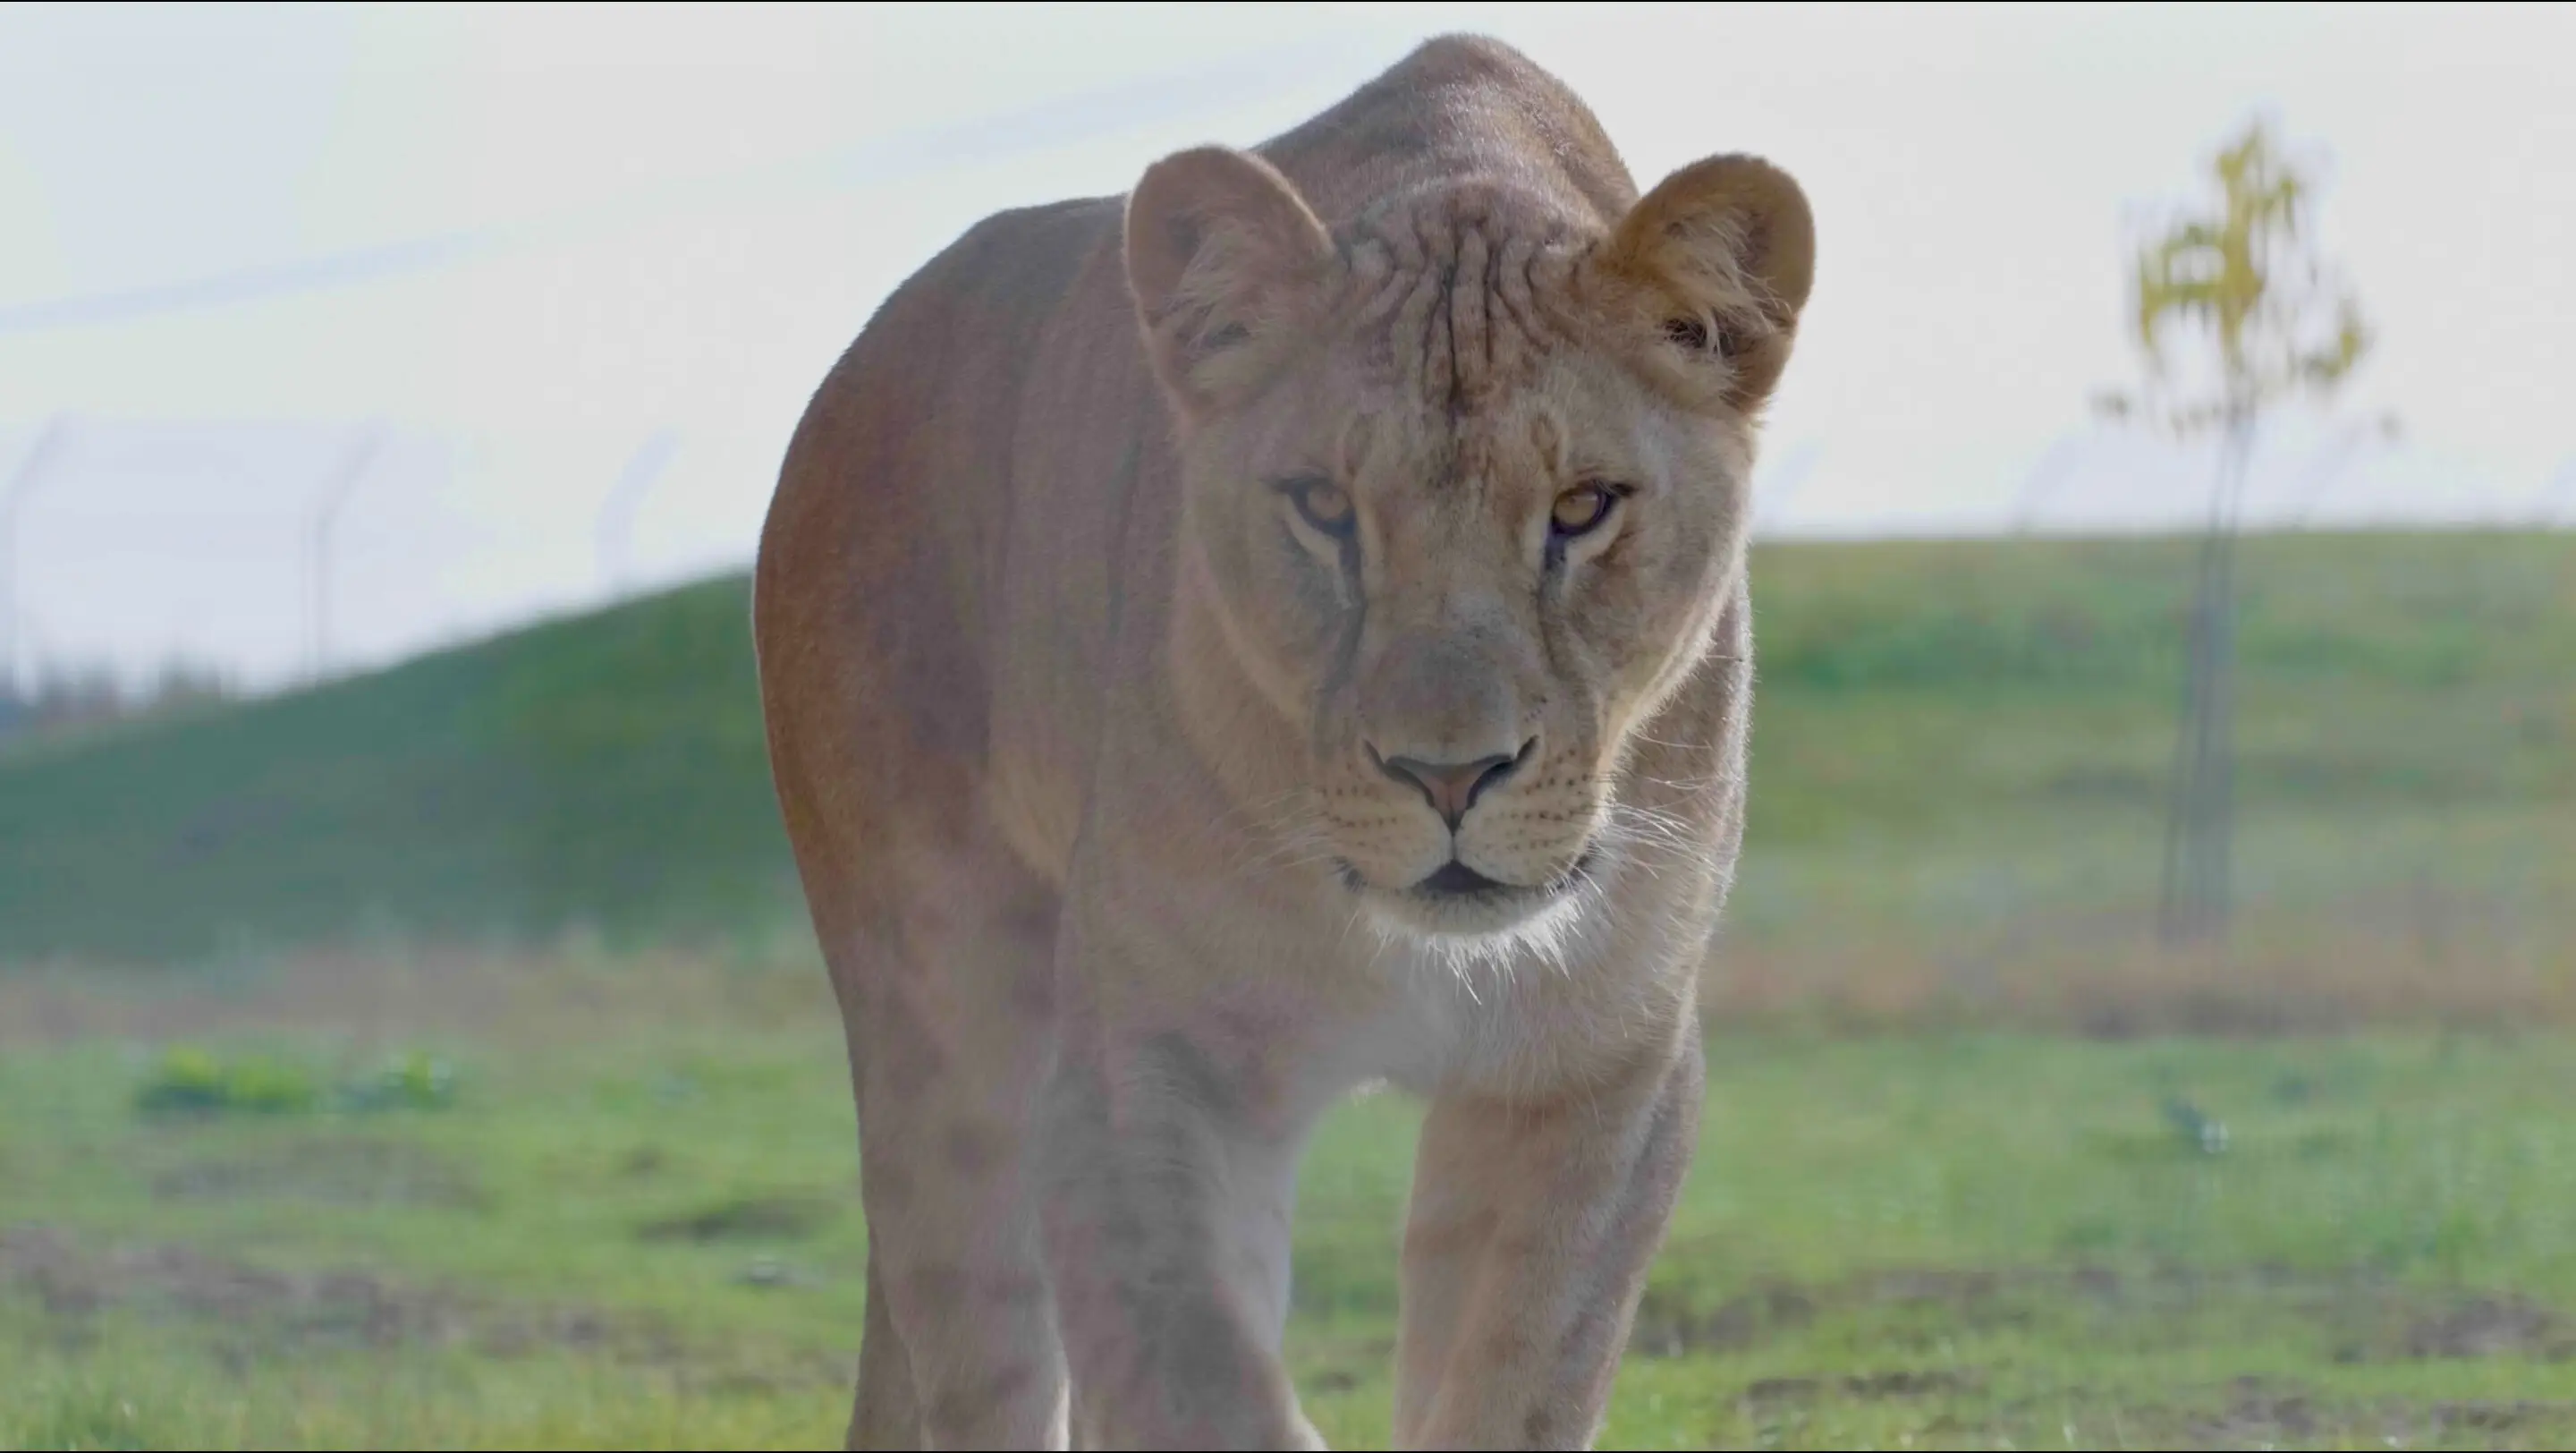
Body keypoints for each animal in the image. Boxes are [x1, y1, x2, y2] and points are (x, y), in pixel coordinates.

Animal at [752, 32, 1813, 1451]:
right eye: (1323, 506)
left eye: (1584, 508)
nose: (1449, 775)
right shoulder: (1140, 1065)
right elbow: (1197, 1375)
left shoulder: (1596, 1071)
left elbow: (1518, 1374)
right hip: (944, 1018)